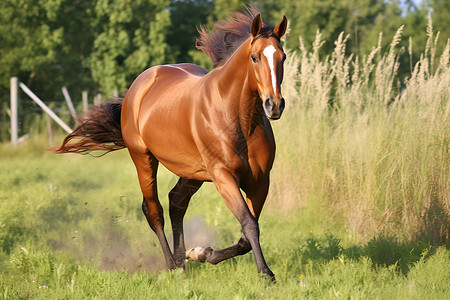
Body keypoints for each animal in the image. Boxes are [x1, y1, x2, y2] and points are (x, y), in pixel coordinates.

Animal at [51, 5, 284, 280]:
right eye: (255, 57)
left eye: (283, 57)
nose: (274, 105)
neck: (238, 119)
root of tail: (139, 85)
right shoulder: (223, 176)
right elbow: (248, 223)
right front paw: (266, 274)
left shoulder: (260, 180)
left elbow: (247, 234)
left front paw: (200, 253)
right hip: (143, 158)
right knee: (154, 210)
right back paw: (172, 265)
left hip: (193, 172)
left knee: (176, 202)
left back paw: (183, 260)